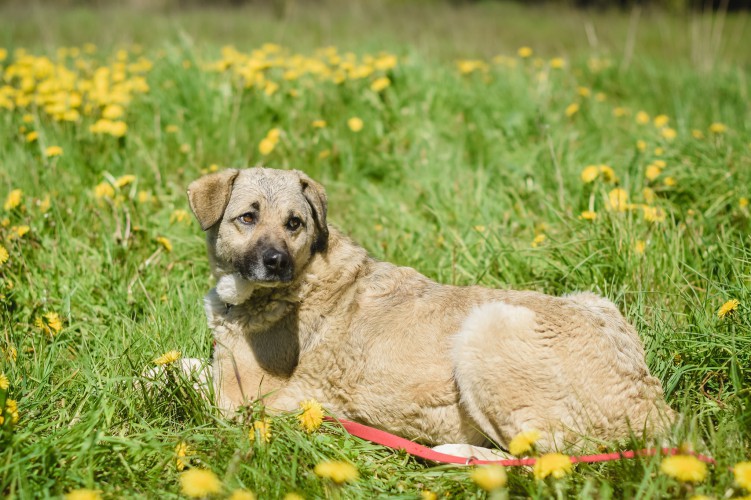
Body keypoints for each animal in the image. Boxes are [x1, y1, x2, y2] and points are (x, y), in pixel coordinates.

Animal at [188, 168, 676, 454]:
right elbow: (186, 364)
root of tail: (654, 409)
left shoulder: (241, 399)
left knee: (543, 455)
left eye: (295, 223)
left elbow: (177, 375)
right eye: (248, 217)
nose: (276, 263)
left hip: (490, 326)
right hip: (594, 301)